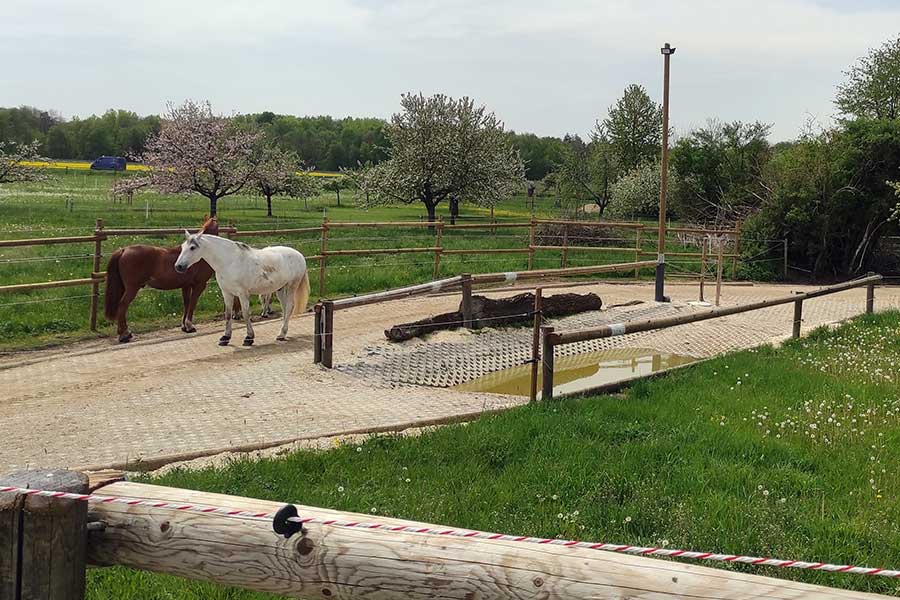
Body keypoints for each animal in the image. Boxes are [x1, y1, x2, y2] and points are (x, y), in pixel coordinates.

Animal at [174, 233, 312, 350]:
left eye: (192, 248)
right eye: (182, 247)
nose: (178, 266)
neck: (229, 262)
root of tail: (299, 255)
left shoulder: (242, 293)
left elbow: (246, 314)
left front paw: (249, 338)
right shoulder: (227, 293)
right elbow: (228, 314)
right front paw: (225, 338)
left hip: (291, 287)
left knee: (289, 307)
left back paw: (282, 334)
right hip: (280, 289)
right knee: (285, 308)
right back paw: (282, 333)